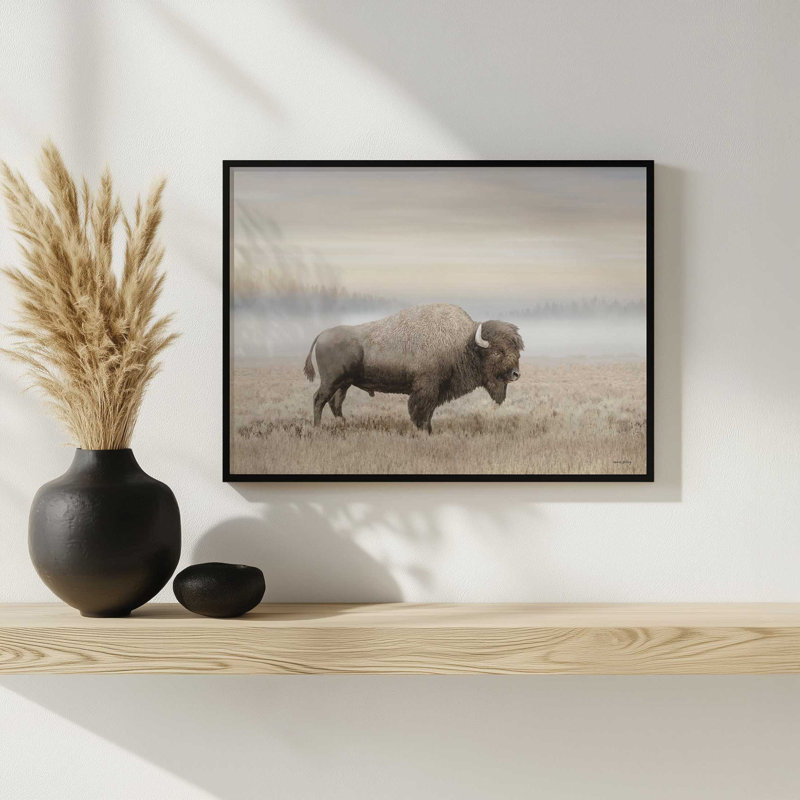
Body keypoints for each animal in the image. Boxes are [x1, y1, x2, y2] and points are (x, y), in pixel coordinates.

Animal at [303, 303, 524, 433]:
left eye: (517, 350)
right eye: (498, 352)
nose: (515, 374)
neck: (463, 343)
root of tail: (322, 335)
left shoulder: (436, 391)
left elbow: (429, 412)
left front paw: (429, 431)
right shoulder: (426, 389)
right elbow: (421, 411)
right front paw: (423, 431)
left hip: (344, 383)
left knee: (335, 403)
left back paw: (344, 424)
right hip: (331, 381)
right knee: (319, 399)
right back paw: (317, 427)